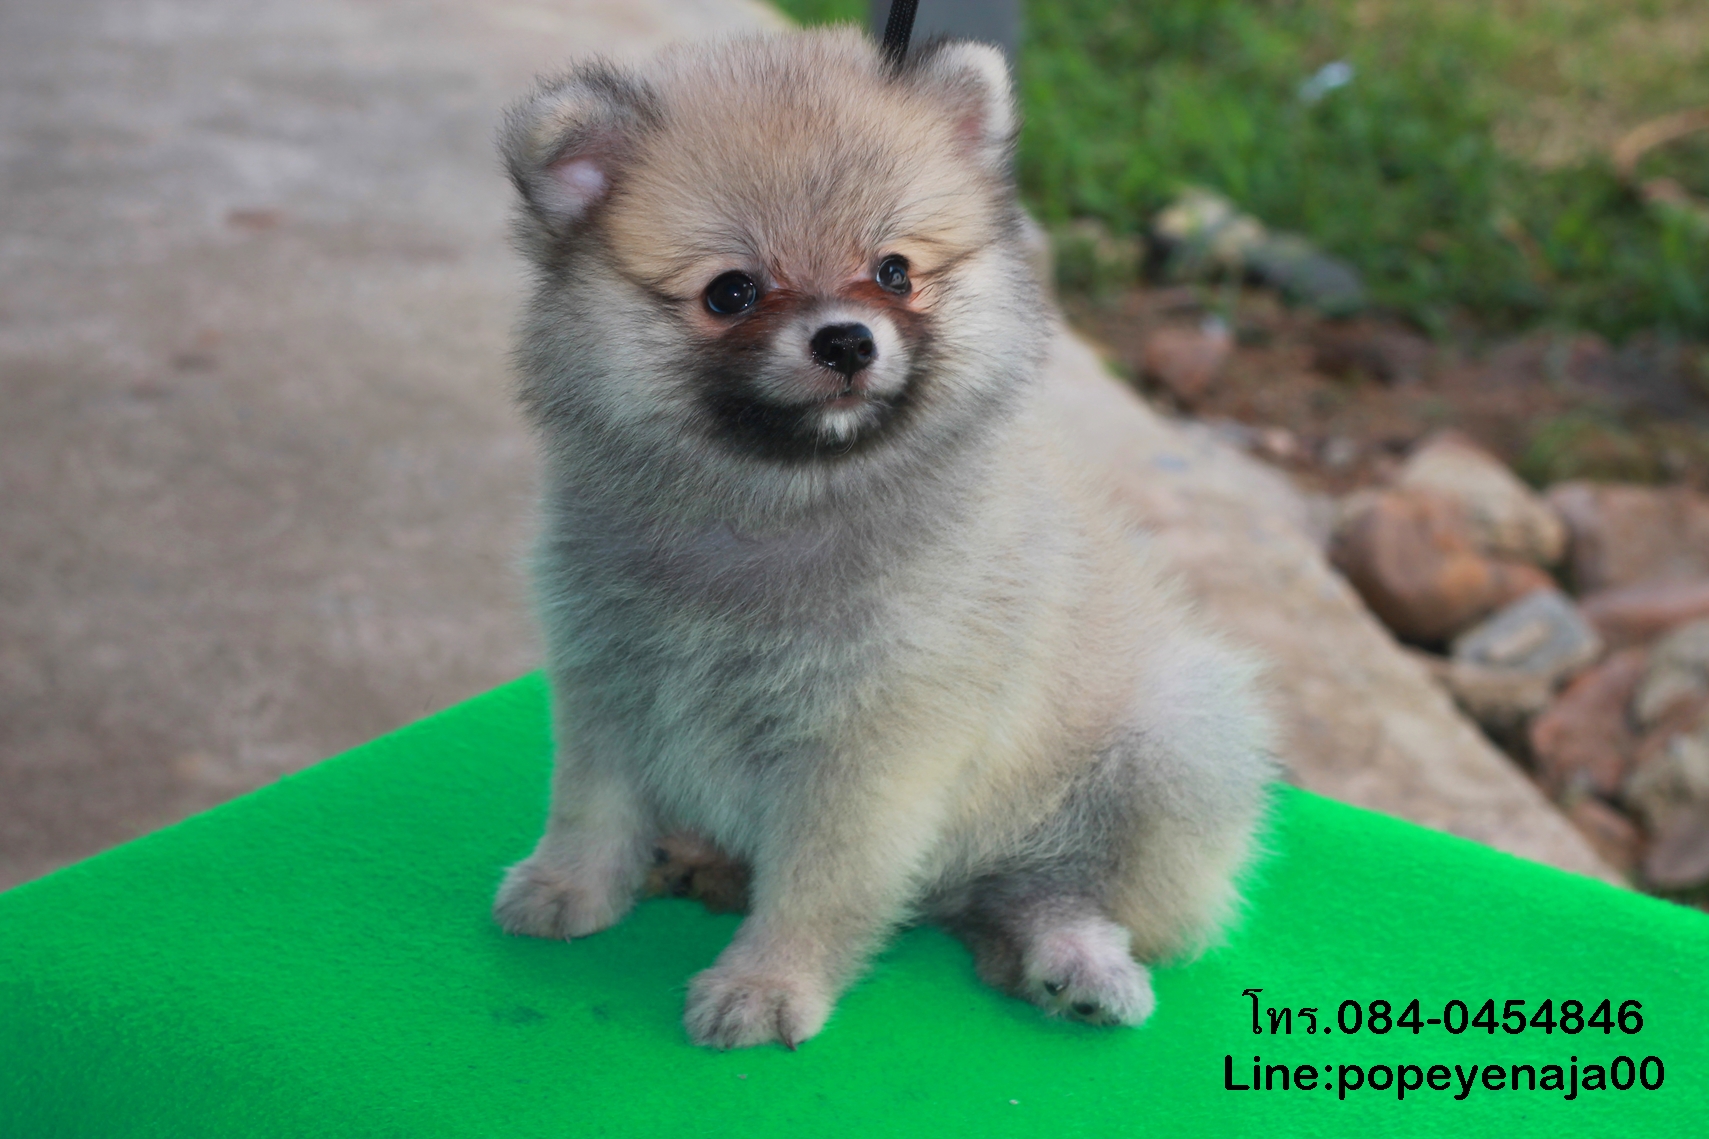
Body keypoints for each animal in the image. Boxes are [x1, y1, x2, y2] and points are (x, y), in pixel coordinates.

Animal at [491, 26, 1275, 1050]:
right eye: (732, 291)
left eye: (894, 270)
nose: (846, 341)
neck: (776, 506)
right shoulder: (609, 681)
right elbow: (592, 806)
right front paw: (569, 886)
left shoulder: (870, 746)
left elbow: (819, 879)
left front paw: (768, 982)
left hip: (1172, 748)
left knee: (1056, 887)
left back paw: (1076, 959)